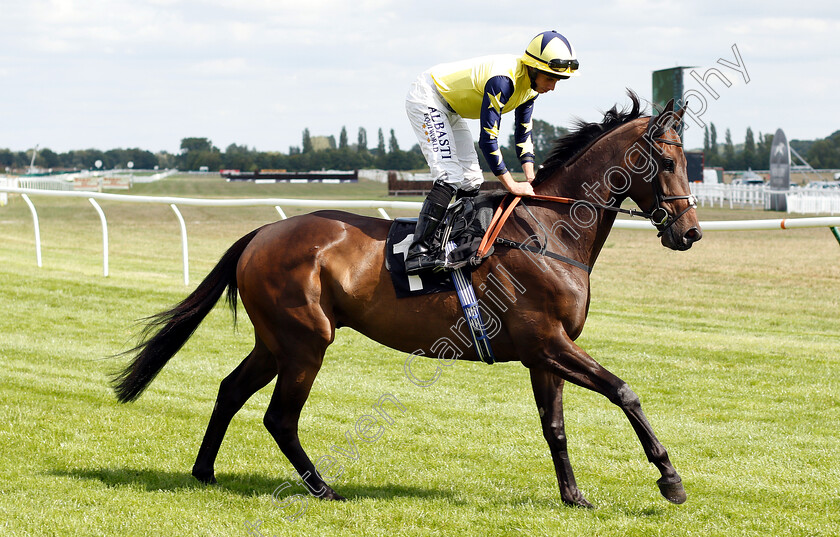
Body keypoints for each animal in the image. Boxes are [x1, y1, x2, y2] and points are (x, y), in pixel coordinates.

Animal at [113, 92, 704, 506]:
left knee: (231, 390)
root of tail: (260, 233)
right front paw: (670, 479)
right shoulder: (547, 341)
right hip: (306, 341)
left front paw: (574, 496)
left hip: (276, 340)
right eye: (666, 162)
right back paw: (324, 489)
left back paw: (204, 471)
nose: (690, 232)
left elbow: (554, 427)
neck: (550, 231)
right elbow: (625, 392)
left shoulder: (545, 353)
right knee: (280, 417)